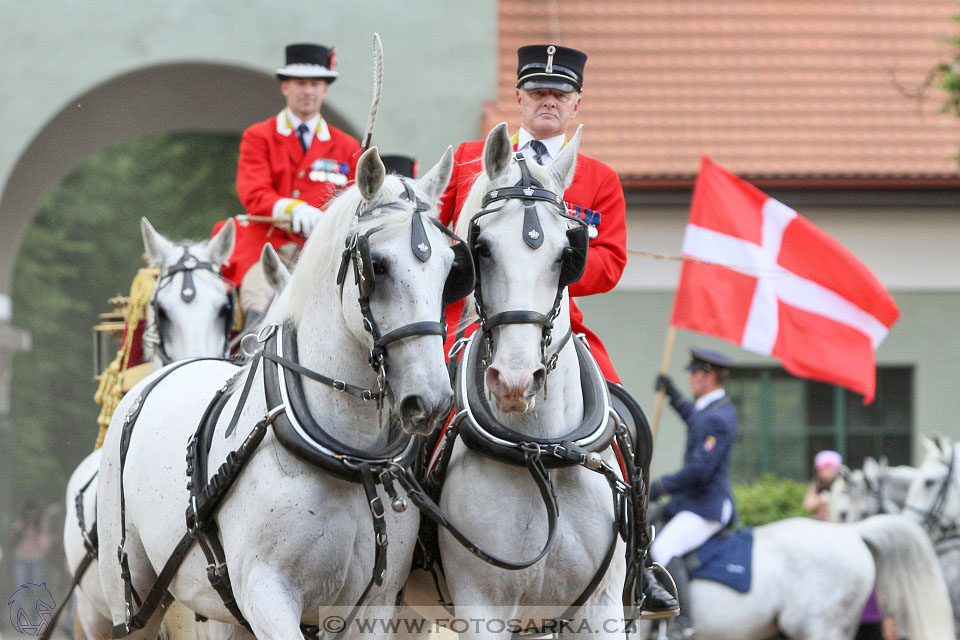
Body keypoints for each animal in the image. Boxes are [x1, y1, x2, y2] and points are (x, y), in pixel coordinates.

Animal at [95, 146, 464, 640]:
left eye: (449, 269)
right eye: (377, 266)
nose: (431, 400)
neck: (351, 459)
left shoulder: (375, 605)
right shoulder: (267, 593)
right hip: (134, 601)